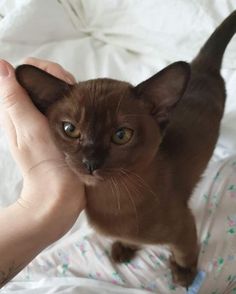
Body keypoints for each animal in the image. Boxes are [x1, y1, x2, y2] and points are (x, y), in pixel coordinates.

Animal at [15, 10, 236, 288]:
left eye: (121, 135)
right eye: (70, 129)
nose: (90, 162)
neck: (113, 197)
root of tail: (201, 65)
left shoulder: (185, 226)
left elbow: (186, 251)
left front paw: (185, 274)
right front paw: (126, 247)